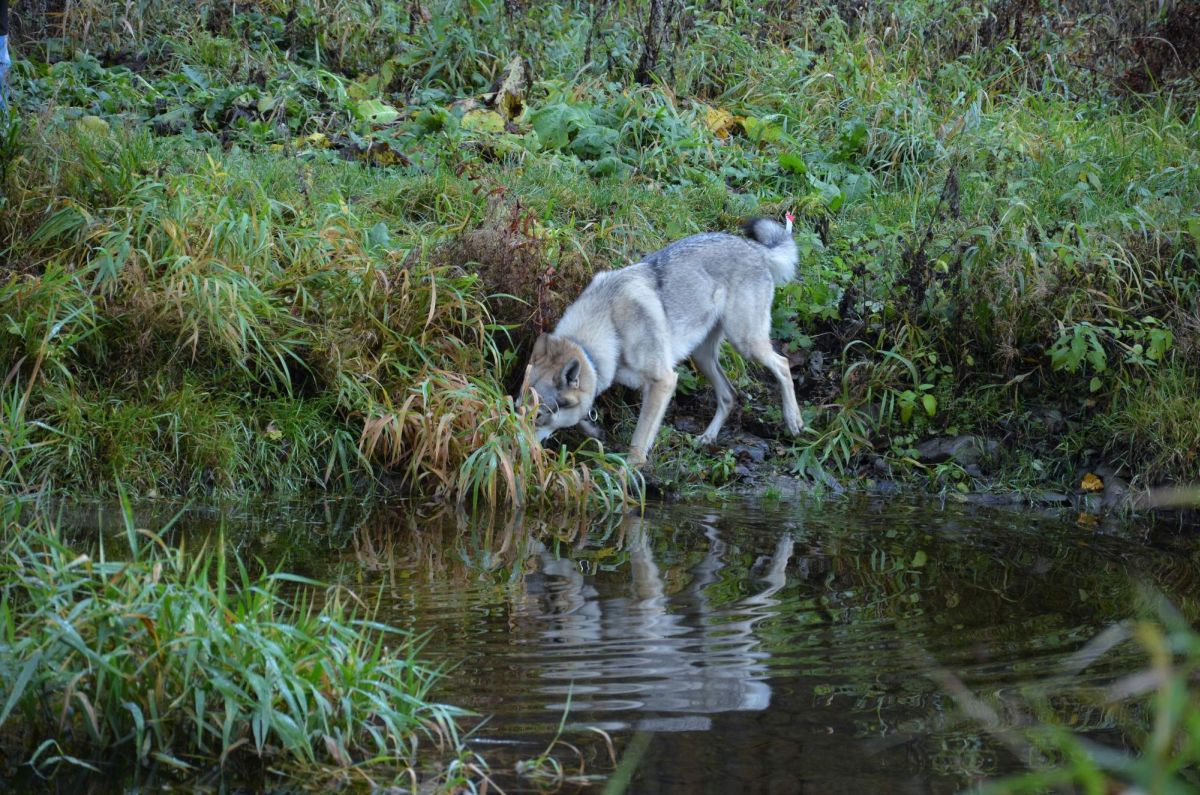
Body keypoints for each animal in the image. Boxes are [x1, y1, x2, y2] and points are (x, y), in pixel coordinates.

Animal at [525, 218, 806, 468]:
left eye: (538, 416)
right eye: (519, 409)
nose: (522, 451)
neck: (610, 325)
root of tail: (753, 247)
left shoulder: (663, 382)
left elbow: (638, 443)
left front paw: (628, 476)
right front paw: (595, 432)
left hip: (746, 344)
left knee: (782, 364)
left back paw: (794, 421)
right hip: (703, 357)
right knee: (729, 395)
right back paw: (707, 438)